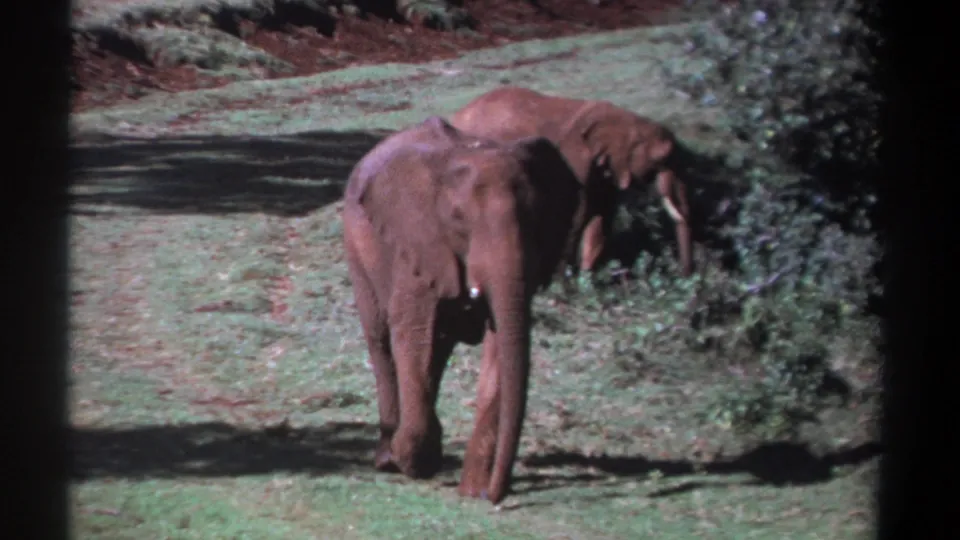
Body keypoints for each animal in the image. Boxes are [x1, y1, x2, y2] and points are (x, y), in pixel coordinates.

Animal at [342, 116, 586, 504]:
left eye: (537, 219)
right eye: (458, 220)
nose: (496, 496)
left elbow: (501, 344)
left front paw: (472, 489)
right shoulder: (418, 246)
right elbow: (413, 333)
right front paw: (415, 462)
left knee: (438, 350)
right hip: (356, 245)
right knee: (381, 339)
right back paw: (387, 459)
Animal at [449, 85, 693, 276]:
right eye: (661, 159)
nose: (685, 275)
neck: (626, 119)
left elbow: (601, 219)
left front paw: (588, 279)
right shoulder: (574, 159)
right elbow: (575, 215)